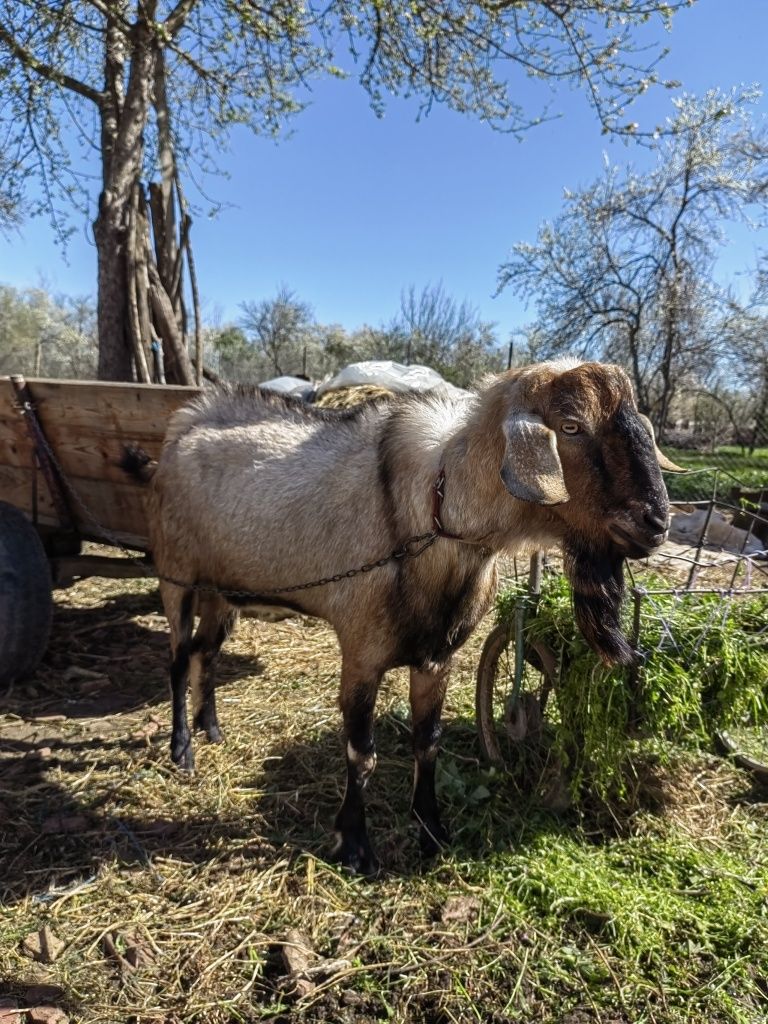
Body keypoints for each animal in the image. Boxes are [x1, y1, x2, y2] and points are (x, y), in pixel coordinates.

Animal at [129, 360, 684, 872]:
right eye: (570, 426)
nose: (656, 523)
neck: (432, 514)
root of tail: (181, 432)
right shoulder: (360, 655)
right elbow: (361, 752)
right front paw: (354, 845)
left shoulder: (437, 657)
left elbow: (428, 743)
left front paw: (432, 829)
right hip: (176, 577)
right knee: (178, 661)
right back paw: (182, 750)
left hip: (222, 594)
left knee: (207, 654)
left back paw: (212, 728)